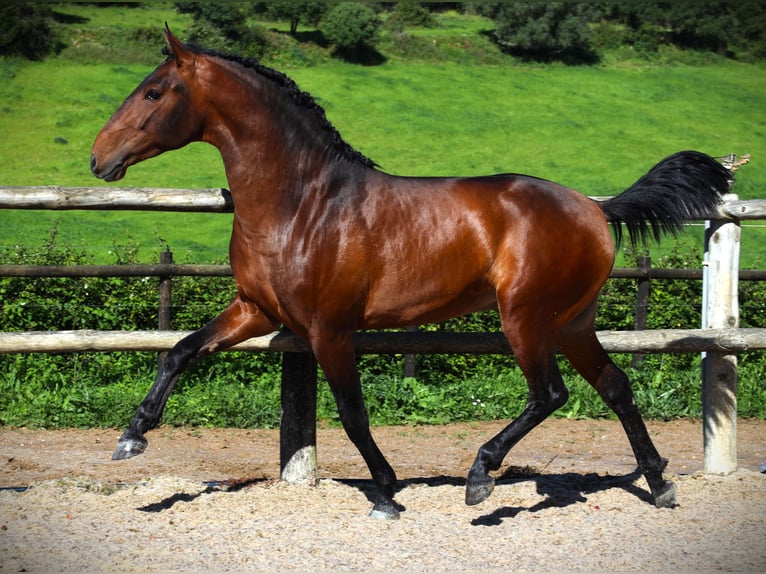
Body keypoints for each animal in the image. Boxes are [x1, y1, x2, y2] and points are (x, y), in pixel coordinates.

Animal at [90, 28, 732, 520]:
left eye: (153, 91)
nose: (99, 157)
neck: (302, 202)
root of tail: (596, 210)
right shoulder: (257, 310)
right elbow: (180, 350)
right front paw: (132, 437)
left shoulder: (329, 330)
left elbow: (352, 413)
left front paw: (386, 492)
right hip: (572, 321)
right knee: (616, 386)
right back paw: (659, 483)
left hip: (525, 317)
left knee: (550, 392)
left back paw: (481, 477)